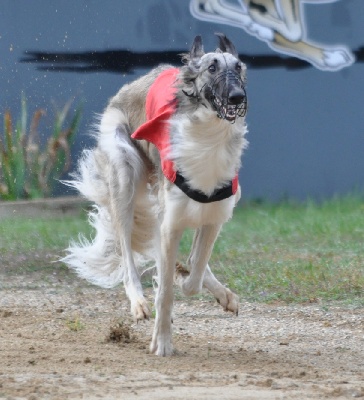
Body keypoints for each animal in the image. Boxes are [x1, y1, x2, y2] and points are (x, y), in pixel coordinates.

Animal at [63, 33, 250, 356]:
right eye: (212, 68)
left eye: (238, 67)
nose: (237, 97)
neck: (208, 140)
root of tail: (131, 85)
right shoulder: (170, 223)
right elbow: (167, 293)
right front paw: (161, 341)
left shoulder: (214, 215)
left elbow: (194, 273)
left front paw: (184, 280)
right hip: (124, 174)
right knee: (127, 253)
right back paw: (139, 302)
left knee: (188, 261)